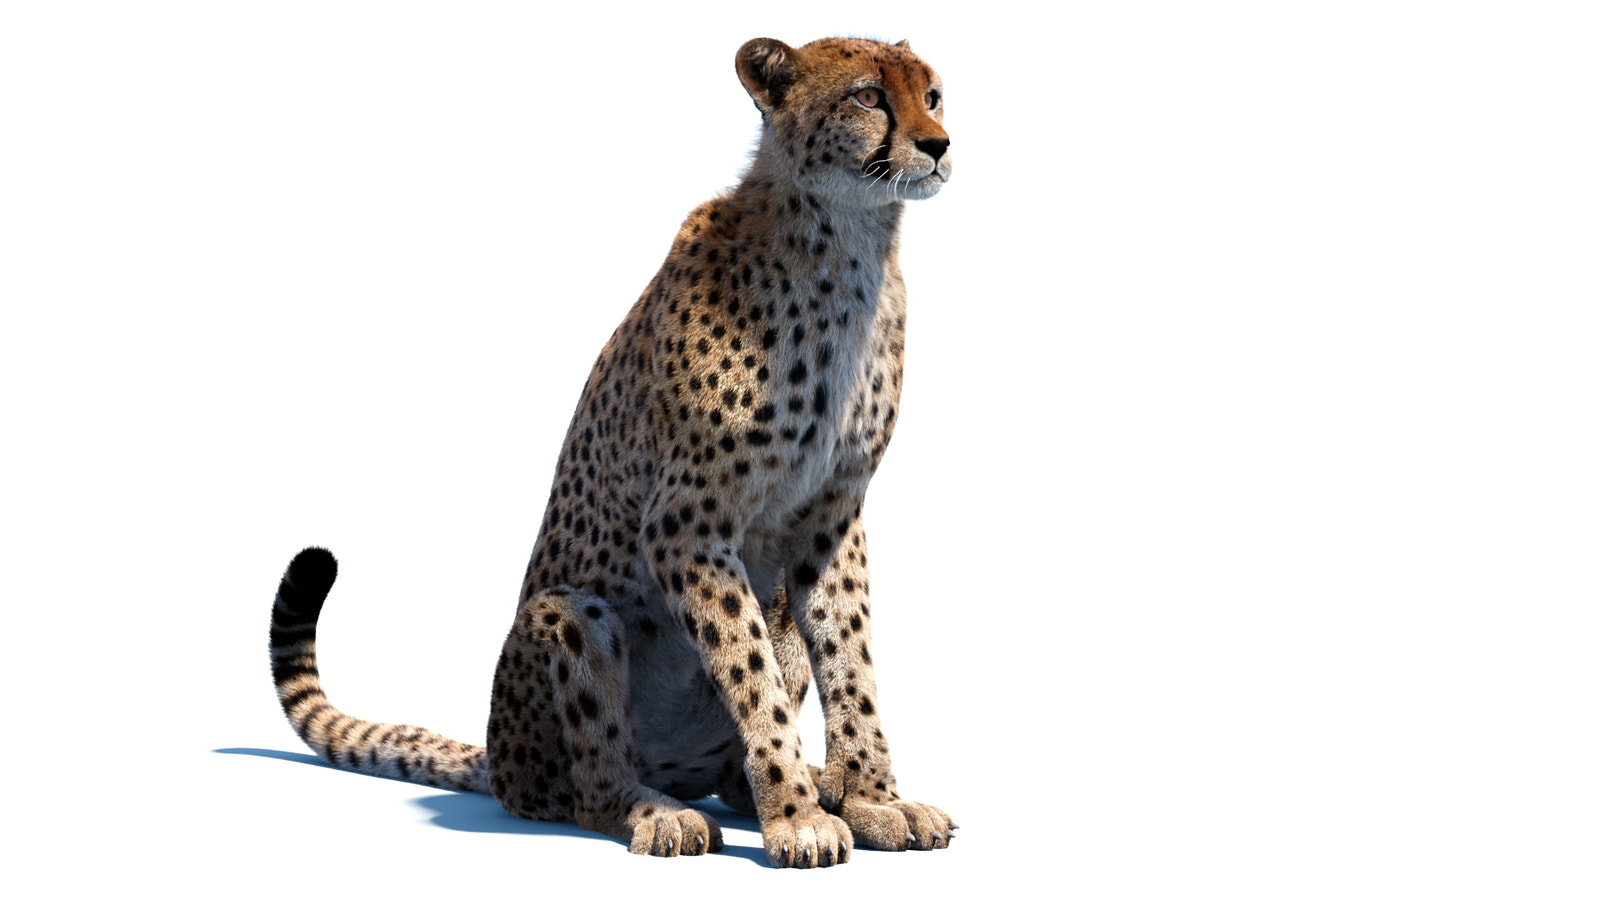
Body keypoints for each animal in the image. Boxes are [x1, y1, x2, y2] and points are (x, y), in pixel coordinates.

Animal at [267, 36, 954, 869]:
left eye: (933, 95)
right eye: (867, 96)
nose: (939, 145)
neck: (850, 241)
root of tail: (499, 755)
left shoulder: (832, 518)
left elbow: (850, 663)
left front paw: (870, 799)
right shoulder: (686, 525)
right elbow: (748, 667)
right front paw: (797, 818)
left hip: (765, 614)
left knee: (728, 765)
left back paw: (794, 784)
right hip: (568, 613)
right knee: (585, 791)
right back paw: (658, 812)